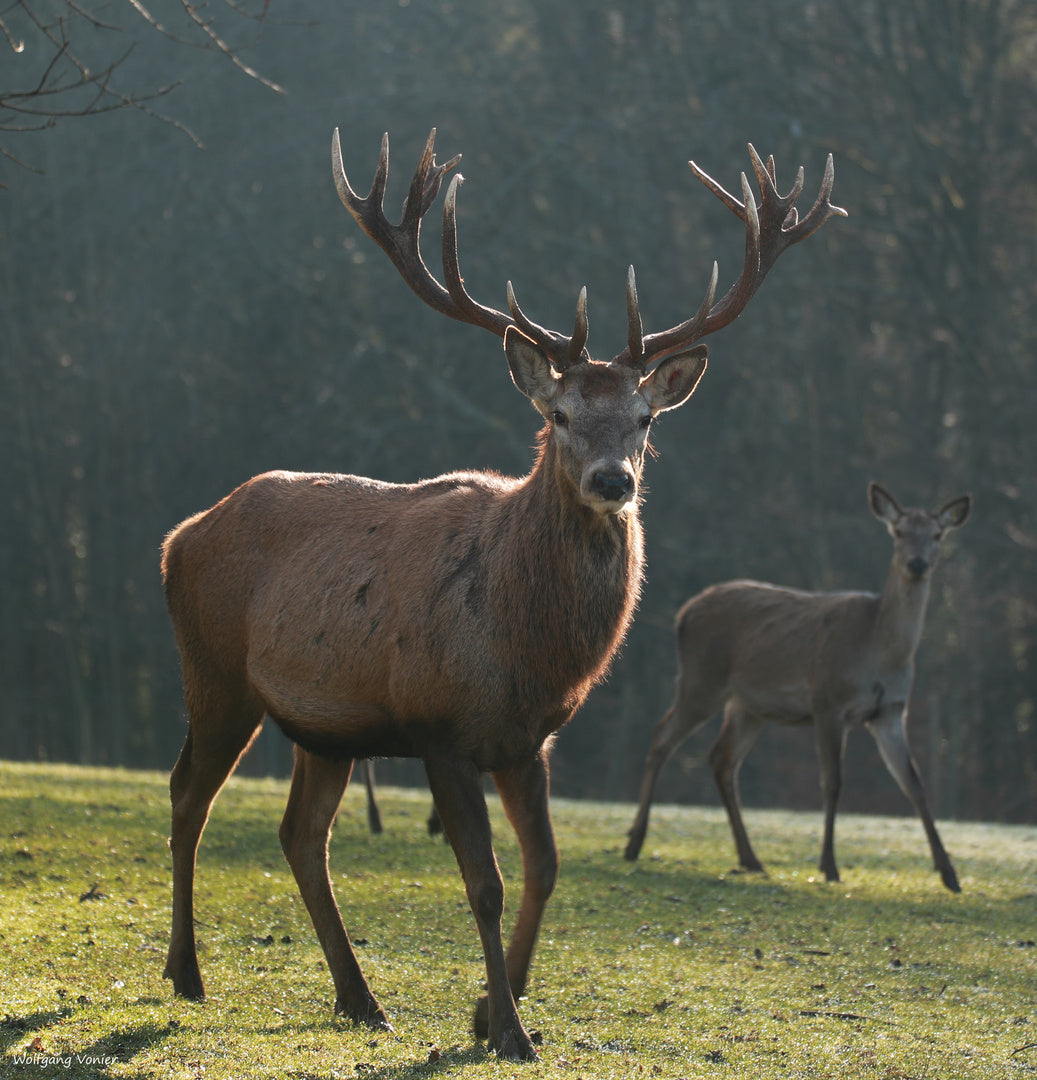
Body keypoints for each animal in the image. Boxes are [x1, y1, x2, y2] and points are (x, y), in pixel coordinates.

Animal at [159, 122, 842, 1058]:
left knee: (301, 835)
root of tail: (178, 537)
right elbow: (483, 883)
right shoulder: (440, 727)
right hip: (216, 673)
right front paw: (509, 1030)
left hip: (322, 728)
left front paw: (494, 1011)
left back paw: (359, 997)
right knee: (188, 794)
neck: (522, 650)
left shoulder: (529, 740)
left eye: (644, 419)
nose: (612, 481)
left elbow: (544, 869)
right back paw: (186, 974)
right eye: (558, 415)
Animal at [622, 486, 972, 889]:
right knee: (662, 736)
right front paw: (829, 866)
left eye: (937, 535)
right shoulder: (828, 700)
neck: (881, 652)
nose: (917, 564)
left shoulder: (890, 712)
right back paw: (634, 843)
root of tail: (683, 614)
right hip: (701, 680)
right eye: (898, 532)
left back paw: (750, 858)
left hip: (747, 705)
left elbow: (913, 783)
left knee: (721, 759)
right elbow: (832, 781)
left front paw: (949, 873)